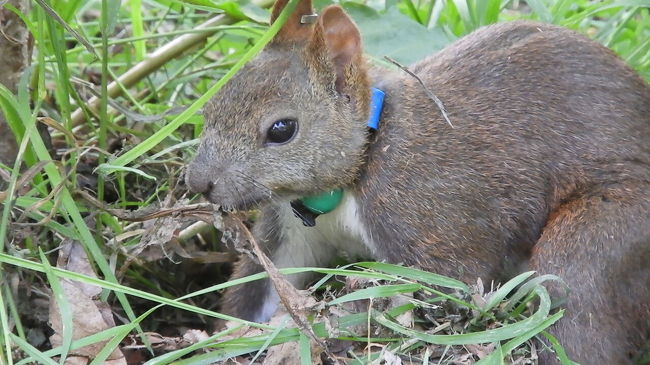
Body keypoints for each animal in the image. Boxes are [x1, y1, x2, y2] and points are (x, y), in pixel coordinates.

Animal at [182, 1, 648, 362]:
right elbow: (265, 289)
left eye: (282, 129)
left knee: (575, 299)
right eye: (212, 106)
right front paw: (225, 339)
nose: (199, 182)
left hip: (603, 241)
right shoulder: (290, 231)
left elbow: (442, 289)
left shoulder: (429, 217)